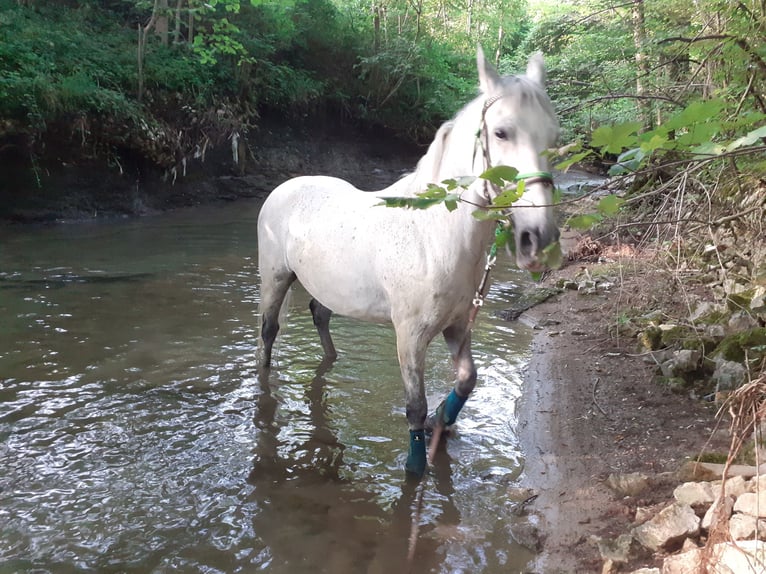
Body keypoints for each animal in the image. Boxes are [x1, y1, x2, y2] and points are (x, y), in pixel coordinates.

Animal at [255, 46, 560, 476]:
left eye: (554, 137)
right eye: (501, 132)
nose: (539, 240)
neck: (432, 236)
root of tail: (284, 188)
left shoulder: (457, 326)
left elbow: (467, 380)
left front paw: (443, 423)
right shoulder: (410, 337)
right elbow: (415, 408)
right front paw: (416, 467)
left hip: (327, 288)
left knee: (320, 315)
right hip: (275, 279)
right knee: (268, 333)